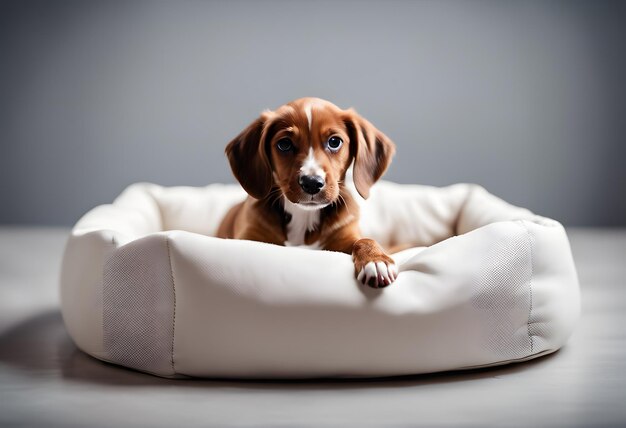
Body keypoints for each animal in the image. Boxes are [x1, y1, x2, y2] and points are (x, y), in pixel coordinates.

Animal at [217, 98, 398, 288]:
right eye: (284, 144)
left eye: (334, 142)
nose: (311, 183)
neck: (304, 216)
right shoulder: (248, 238)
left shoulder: (345, 237)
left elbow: (364, 240)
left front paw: (377, 260)